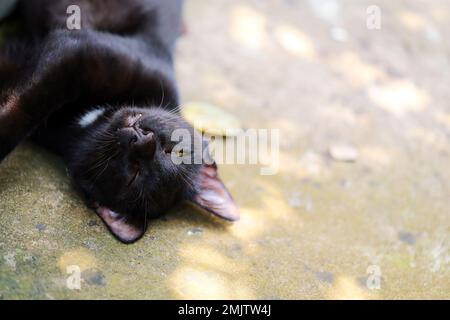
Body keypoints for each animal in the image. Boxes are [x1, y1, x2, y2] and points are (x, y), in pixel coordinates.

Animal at [0, 0, 239, 242]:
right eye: (176, 151)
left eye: (135, 174)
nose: (144, 139)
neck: (88, 122)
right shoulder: (78, 52)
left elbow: (22, 109)